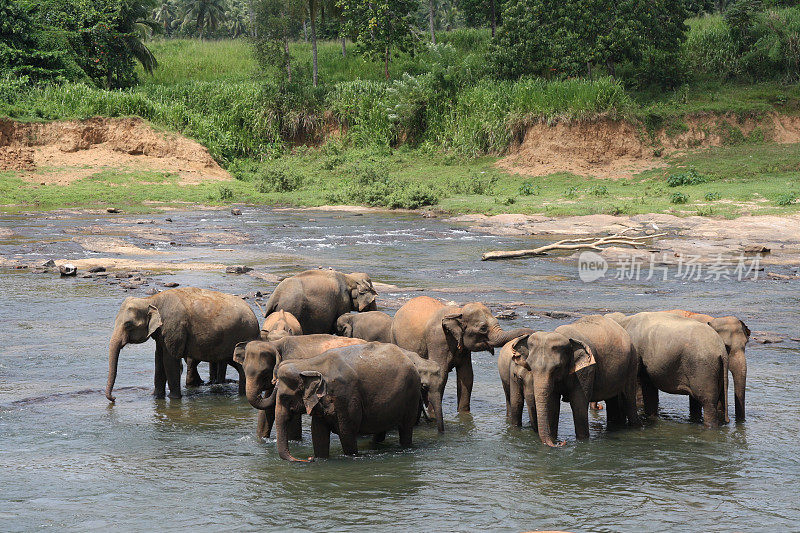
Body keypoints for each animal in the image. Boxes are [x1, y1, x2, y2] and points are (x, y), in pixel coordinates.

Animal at [104, 286, 258, 400]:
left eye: (128, 325)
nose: (114, 398)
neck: (151, 299)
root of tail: (254, 316)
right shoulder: (161, 333)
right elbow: (158, 360)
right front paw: (156, 397)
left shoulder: (174, 327)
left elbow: (169, 360)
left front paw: (174, 398)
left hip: (244, 335)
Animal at [233, 334, 368, 438]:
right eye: (244, 369)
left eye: (264, 372)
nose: (275, 382)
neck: (275, 344)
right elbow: (268, 409)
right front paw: (260, 441)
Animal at [272, 340, 422, 462]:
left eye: (284, 397)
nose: (309, 459)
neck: (310, 363)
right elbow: (318, 434)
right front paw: (320, 458)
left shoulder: (345, 396)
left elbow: (347, 432)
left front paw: (352, 456)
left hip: (412, 394)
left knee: (406, 427)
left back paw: (404, 447)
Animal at [392, 296, 536, 428]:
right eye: (483, 328)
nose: (527, 335)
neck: (458, 312)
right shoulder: (438, 340)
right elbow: (442, 373)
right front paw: (433, 415)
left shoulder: (464, 348)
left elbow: (467, 375)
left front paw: (464, 414)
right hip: (394, 336)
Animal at [506, 314, 644, 446]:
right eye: (529, 366)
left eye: (557, 368)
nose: (561, 443)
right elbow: (552, 404)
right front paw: (553, 438)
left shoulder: (586, 370)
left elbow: (578, 403)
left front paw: (582, 441)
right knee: (612, 399)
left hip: (632, 363)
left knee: (628, 397)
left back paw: (635, 428)